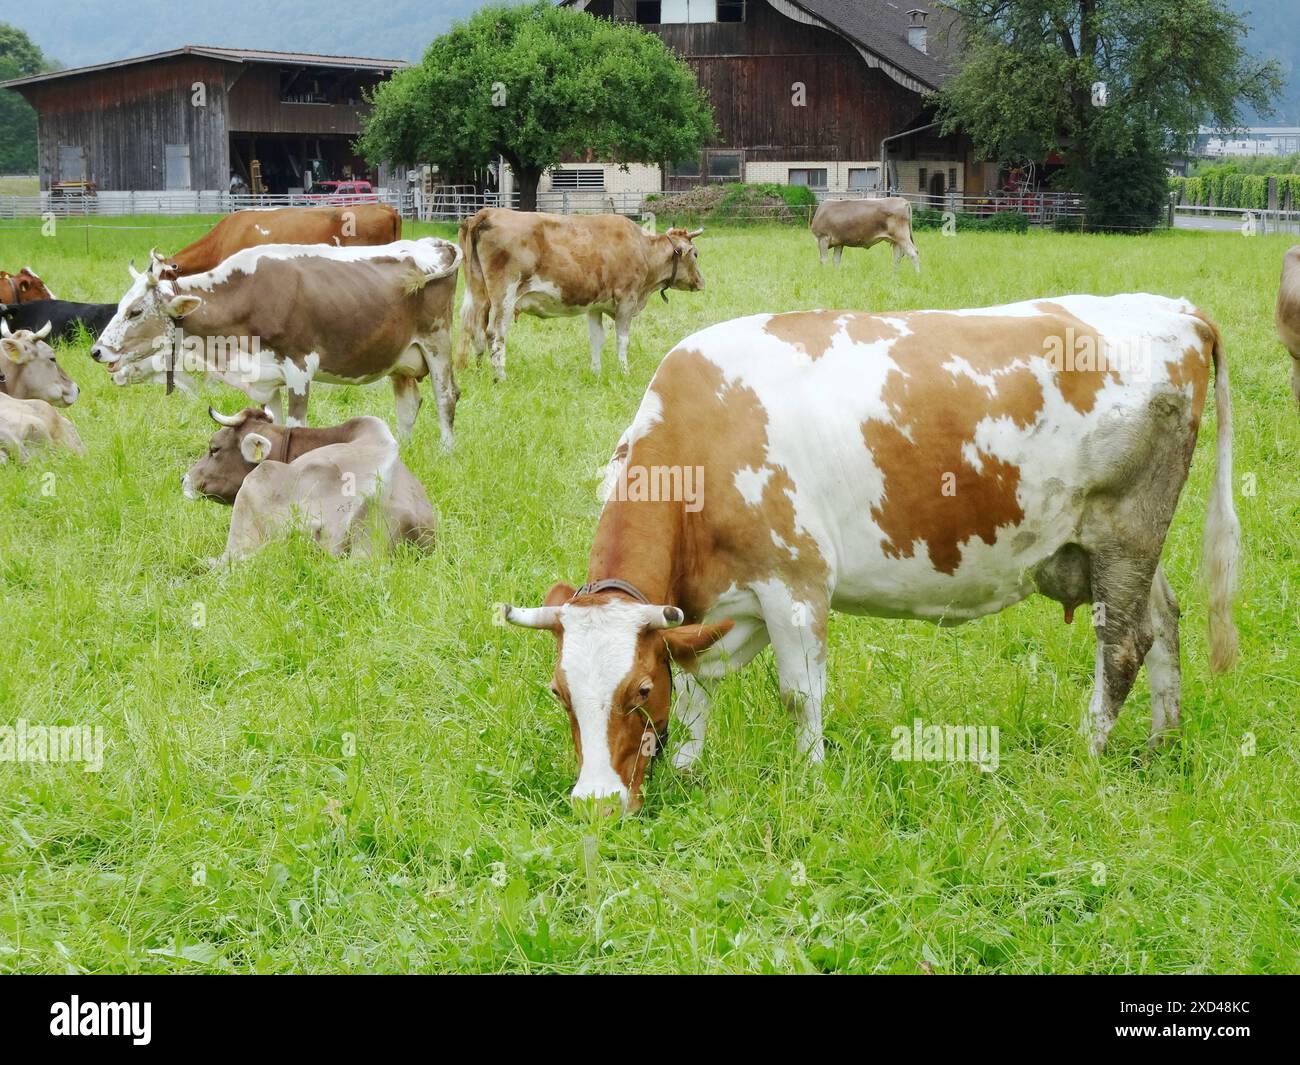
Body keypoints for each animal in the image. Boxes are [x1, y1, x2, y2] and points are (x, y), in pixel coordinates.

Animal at [89, 238, 463, 450]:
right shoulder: (266, 379)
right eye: (120, 305)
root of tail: (434, 243)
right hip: (400, 356)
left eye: (136, 311)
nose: (96, 351)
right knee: (408, 404)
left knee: (445, 396)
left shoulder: (300, 368)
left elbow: (296, 428)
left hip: (437, 341)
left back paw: (446, 452)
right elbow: (272, 427)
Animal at [458, 209, 704, 380]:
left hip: (478, 292)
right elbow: (622, 340)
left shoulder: (595, 306)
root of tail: (488, 212)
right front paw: (624, 372)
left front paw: (596, 372)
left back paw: (479, 372)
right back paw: (501, 377)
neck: (642, 248)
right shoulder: (627, 299)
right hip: (505, 297)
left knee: (475, 330)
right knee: (495, 334)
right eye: (695, 254)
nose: (701, 282)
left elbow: (596, 338)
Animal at [503, 294, 1238, 813]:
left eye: (638, 689)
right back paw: (1160, 744)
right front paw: (688, 765)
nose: (594, 805)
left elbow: (799, 693)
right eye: (559, 691)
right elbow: (700, 674)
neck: (702, 437)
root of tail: (1178, 310)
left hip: (1125, 530)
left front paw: (810, 779)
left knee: (1124, 645)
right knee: (1165, 622)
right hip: (1124, 545)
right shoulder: (731, 598)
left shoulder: (796, 582)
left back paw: (1088, 751)